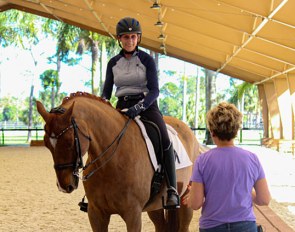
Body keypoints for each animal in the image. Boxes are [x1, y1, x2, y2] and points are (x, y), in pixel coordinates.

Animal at [36, 91, 199, 231]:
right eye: (46, 144)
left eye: (70, 141)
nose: (64, 185)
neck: (110, 163)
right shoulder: (96, 214)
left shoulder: (133, 215)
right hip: (155, 206)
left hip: (185, 199)